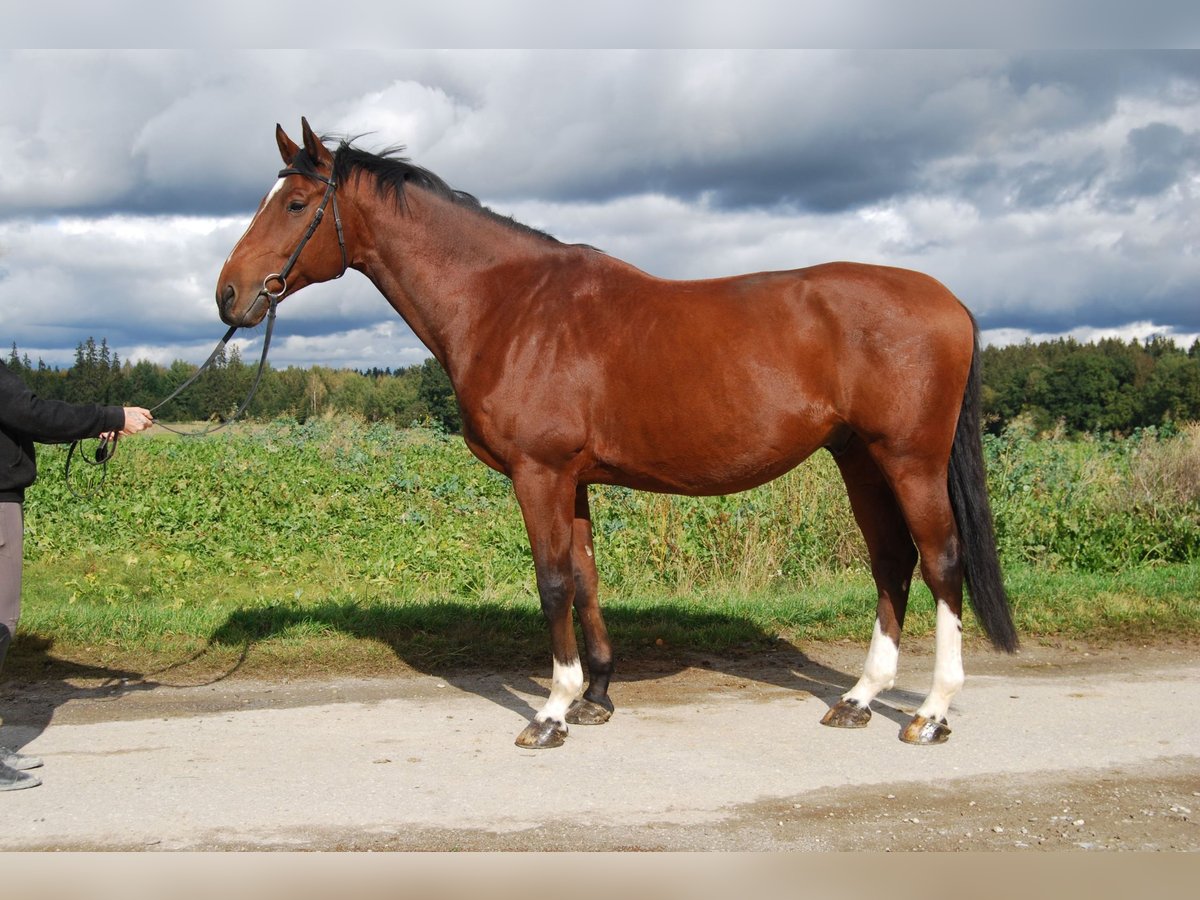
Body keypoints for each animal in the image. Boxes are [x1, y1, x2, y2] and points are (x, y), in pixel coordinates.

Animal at [218, 121, 1022, 753]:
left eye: (295, 204)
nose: (228, 295)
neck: (509, 305)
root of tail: (951, 302)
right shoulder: (572, 479)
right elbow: (585, 579)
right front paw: (596, 696)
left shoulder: (538, 472)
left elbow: (550, 583)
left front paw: (550, 712)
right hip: (859, 457)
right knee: (891, 560)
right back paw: (858, 700)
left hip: (909, 459)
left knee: (941, 562)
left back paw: (929, 713)